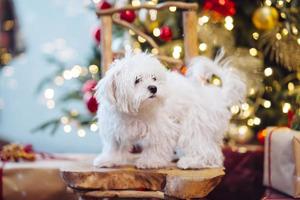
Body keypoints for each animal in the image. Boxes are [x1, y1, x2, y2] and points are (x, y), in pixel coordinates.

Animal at [94, 51, 246, 169]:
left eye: (154, 78)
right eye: (137, 80)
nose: (153, 88)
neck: (136, 112)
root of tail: (219, 95)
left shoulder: (161, 129)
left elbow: (156, 146)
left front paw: (150, 162)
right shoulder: (115, 128)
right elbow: (114, 146)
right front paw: (109, 160)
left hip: (194, 127)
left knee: (207, 151)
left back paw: (191, 162)